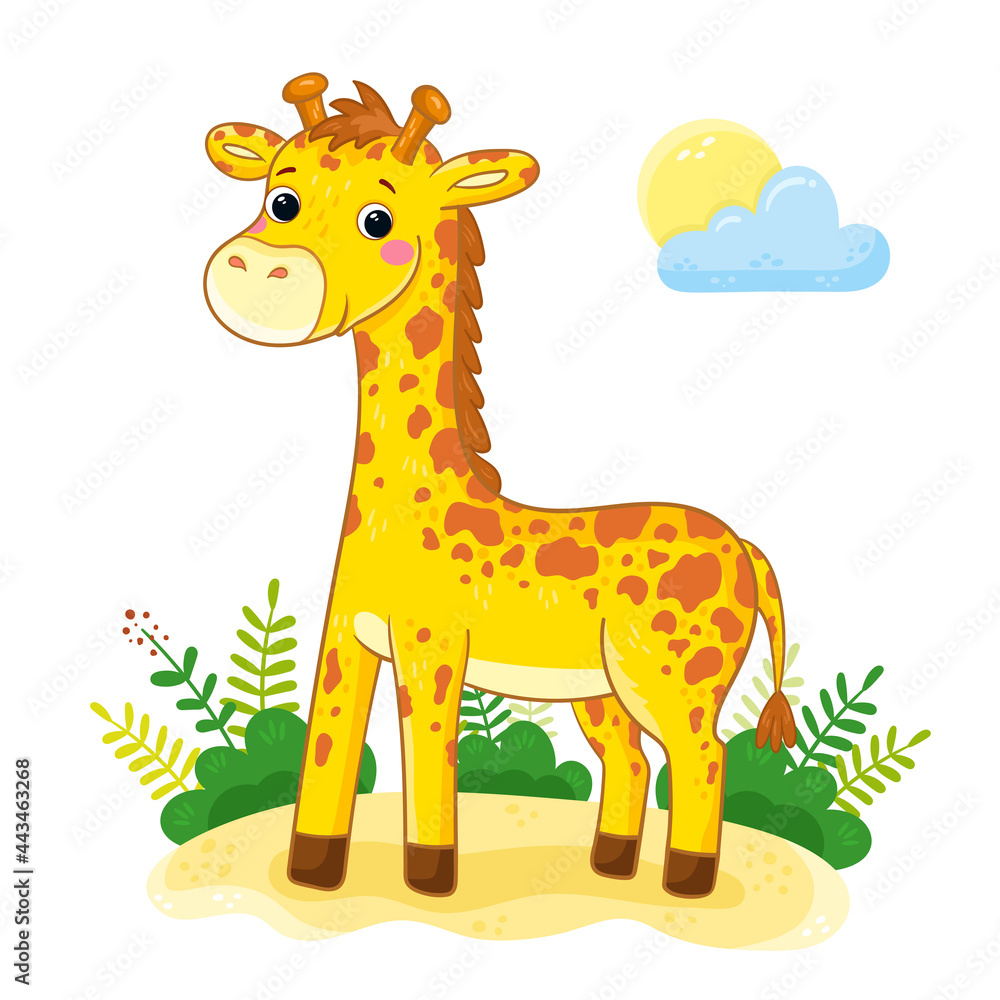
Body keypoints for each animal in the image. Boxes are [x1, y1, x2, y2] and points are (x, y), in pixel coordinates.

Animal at [202, 74, 797, 900]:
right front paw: (313, 876)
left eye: (378, 217)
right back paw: (609, 866)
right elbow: (325, 754)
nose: (257, 270)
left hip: (670, 676)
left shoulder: (431, 645)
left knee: (703, 755)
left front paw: (431, 881)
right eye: (279, 197)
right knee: (633, 759)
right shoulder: (346, 640)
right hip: (600, 690)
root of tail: (747, 549)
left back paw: (686, 884)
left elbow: (427, 756)